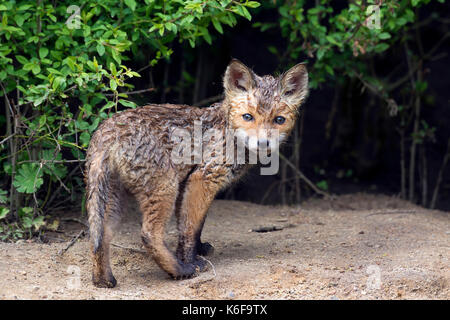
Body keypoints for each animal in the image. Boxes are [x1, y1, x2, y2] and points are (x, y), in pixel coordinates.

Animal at [85, 59, 310, 288]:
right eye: (248, 117)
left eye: (279, 120)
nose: (263, 143)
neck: (227, 131)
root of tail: (108, 130)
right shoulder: (202, 178)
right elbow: (189, 228)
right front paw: (189, 260)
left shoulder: (189, 183)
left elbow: (195, 224)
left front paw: (198, 249)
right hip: (164, 189)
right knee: (148, 234)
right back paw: (180, 270)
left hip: (114, 199)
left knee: (100, 237)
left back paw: (102, 280)